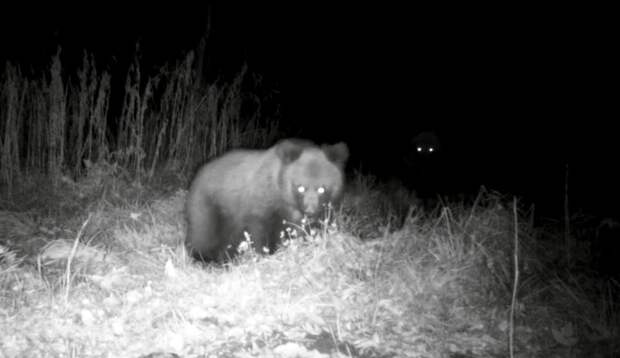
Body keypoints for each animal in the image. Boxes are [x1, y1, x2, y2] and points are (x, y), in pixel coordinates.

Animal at [184, 138, 348, 262]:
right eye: (300, 187)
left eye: (322, 189)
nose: (310, 211)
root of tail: (199, 173)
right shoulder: (263, 204)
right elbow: (260, 231)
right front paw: (264, 256)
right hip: (208, 204)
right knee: (203, 232)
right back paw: (203, 258)